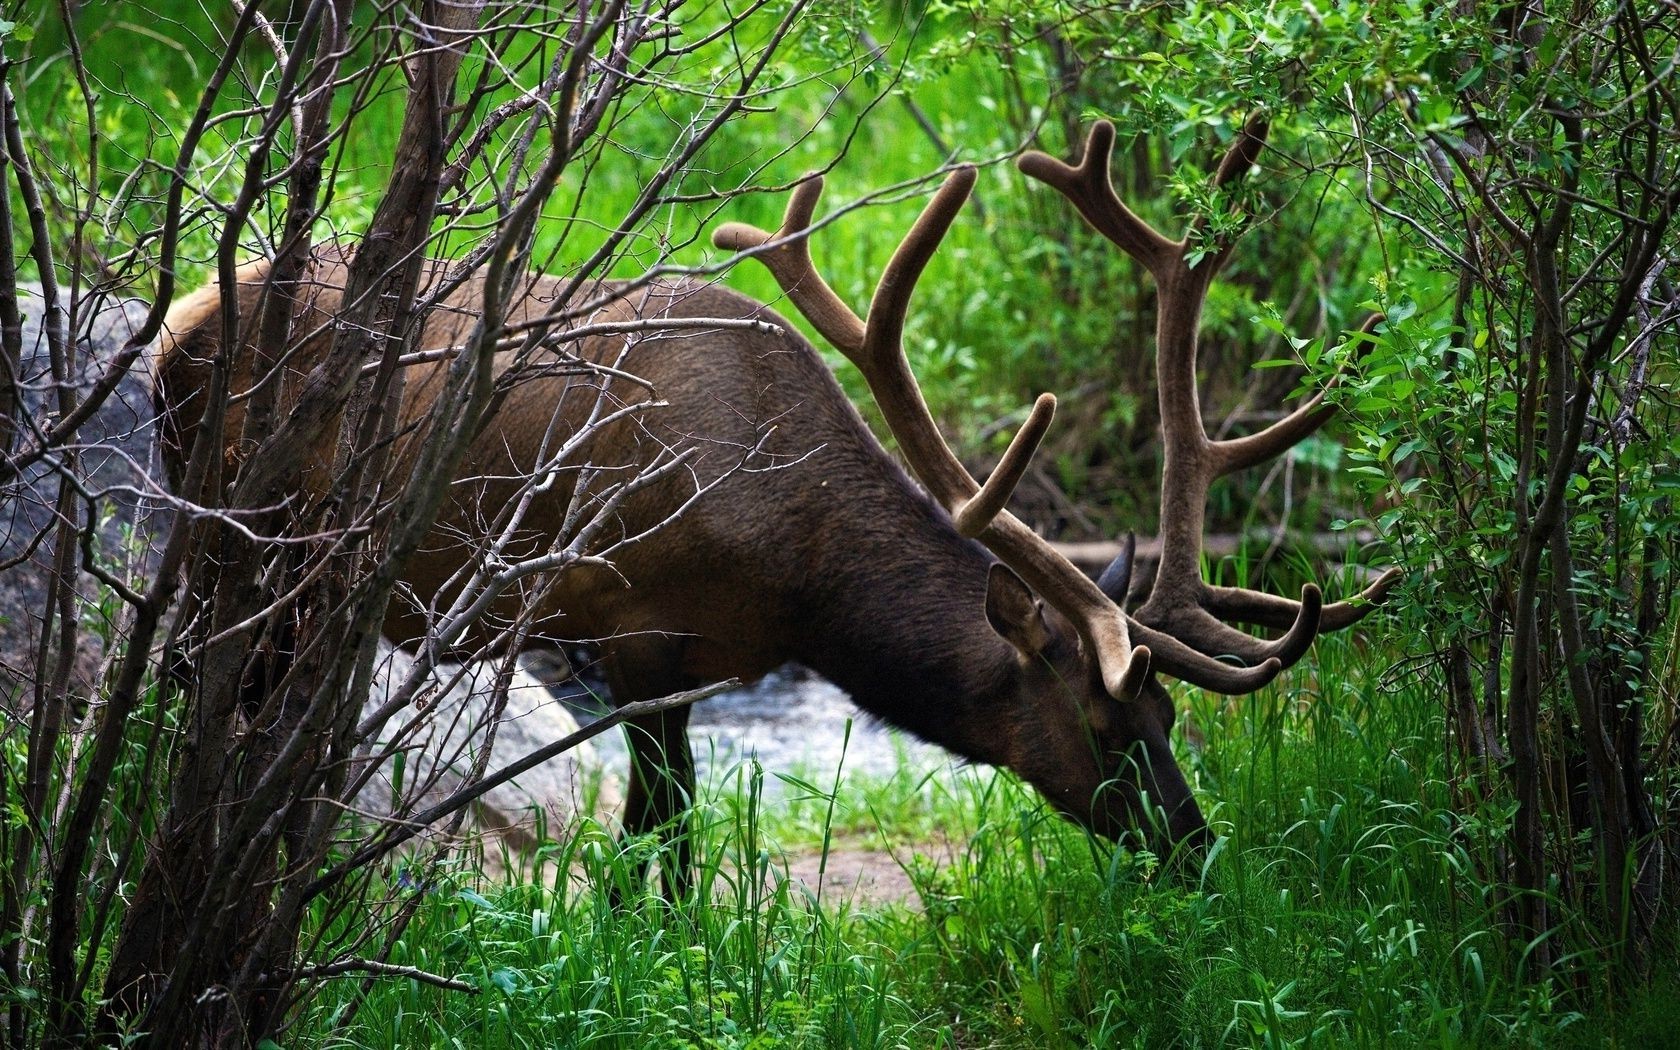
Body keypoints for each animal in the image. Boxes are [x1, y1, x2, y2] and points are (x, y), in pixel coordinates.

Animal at [154, 114, 1391, 887]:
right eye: (1103, 725)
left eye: (1170, 719)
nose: (1196, 849)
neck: (797, 582)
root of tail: (182, 317)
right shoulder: (634, 630)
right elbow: (660, 840)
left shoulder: (705, 660)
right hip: (237, 539)